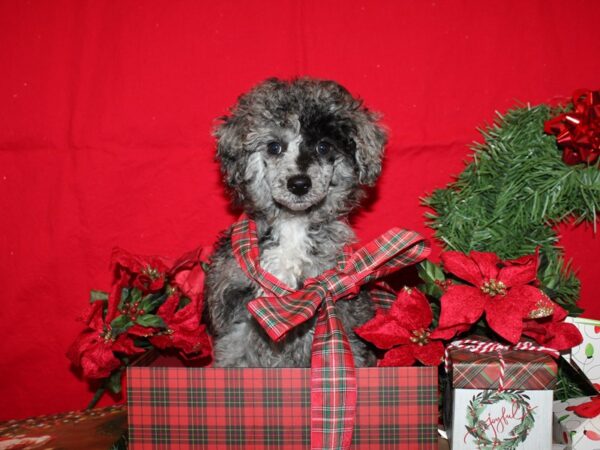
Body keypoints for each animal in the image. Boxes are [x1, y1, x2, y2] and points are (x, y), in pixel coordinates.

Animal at [204, 76, 386, 366]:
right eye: (274, 146)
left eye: (324, 146)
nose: (299, 184)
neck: (293, 223)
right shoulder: (235, 320)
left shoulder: (339, 311)